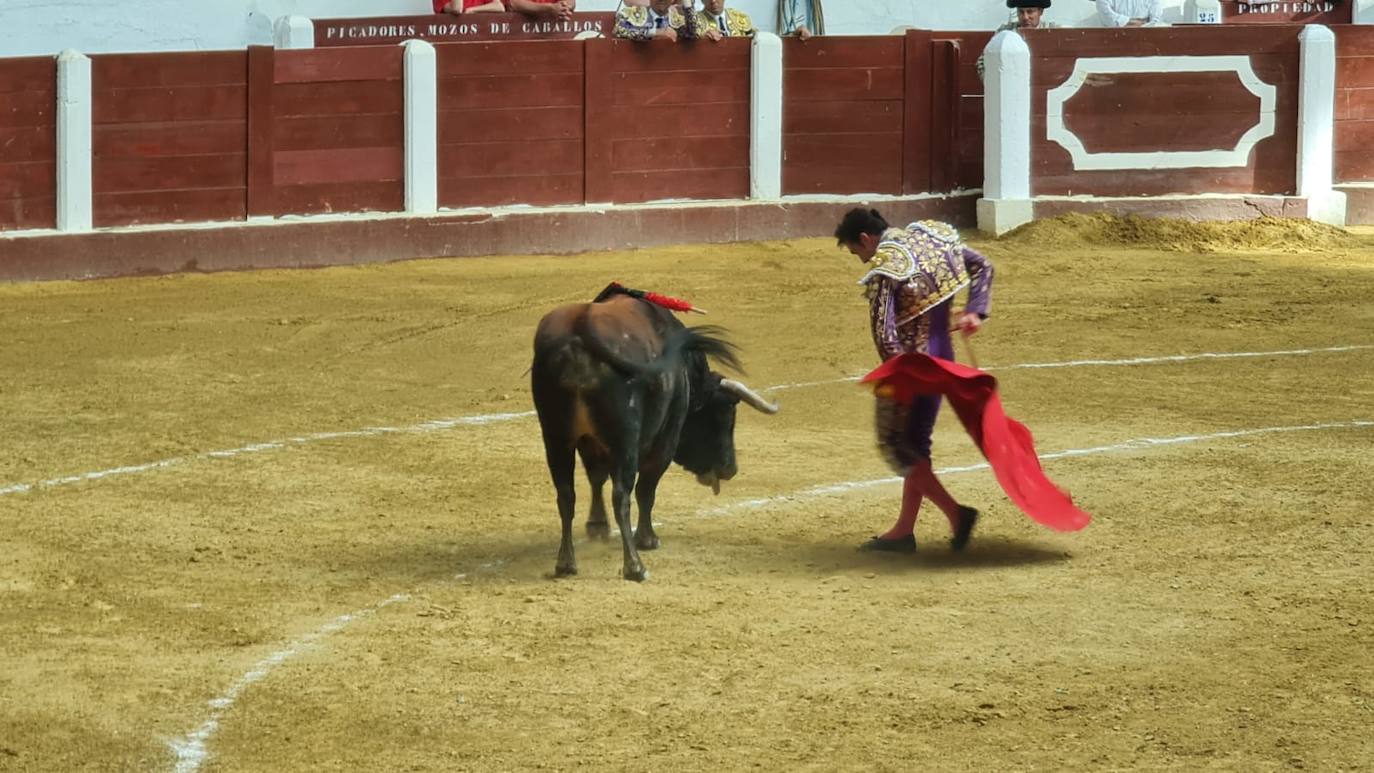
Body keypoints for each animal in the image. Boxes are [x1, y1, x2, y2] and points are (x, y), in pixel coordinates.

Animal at [530, 295, 780, 582]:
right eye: (726, 413)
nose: (730, 468)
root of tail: (579, 331)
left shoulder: (588, 442)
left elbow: (596, 479)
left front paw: (598, 526)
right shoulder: (664, 442)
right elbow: (645, 491)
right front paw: (647, 539)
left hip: (555, 439)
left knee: (565, 495)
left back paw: (565, 563)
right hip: (624, 440)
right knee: (622, 495)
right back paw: (634, 567)